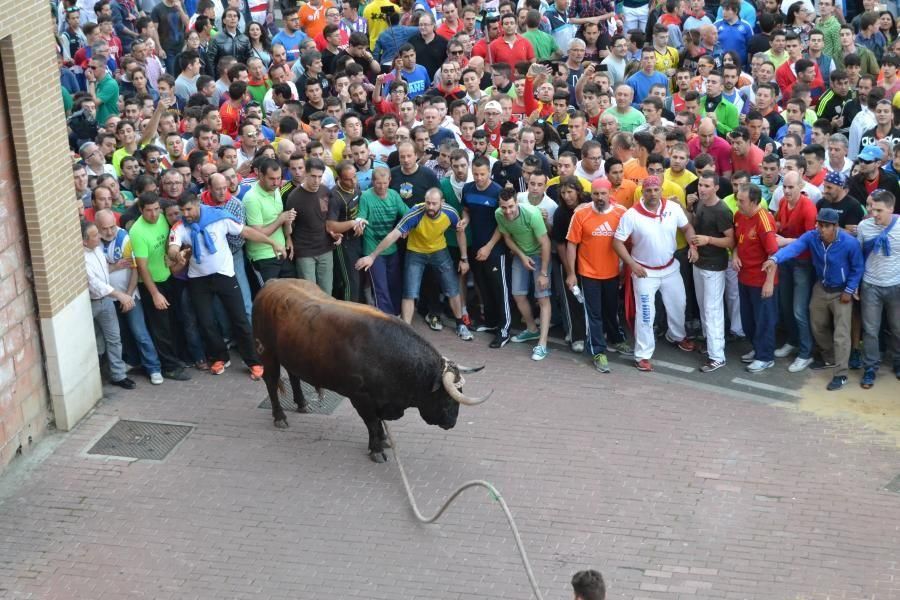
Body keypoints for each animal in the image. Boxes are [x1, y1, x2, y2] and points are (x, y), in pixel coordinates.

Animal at [251, 278, 492, 462]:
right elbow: (372, 423)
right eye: (448, 397)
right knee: (271, 382)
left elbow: (377, 423)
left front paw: (383, 441)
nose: (452, 423)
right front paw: (376, 449)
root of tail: (271, 284)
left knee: (293, 376)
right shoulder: (361, 397)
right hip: (267, 352)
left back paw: (301, 404)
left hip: (291, 354)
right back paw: (280, 417)